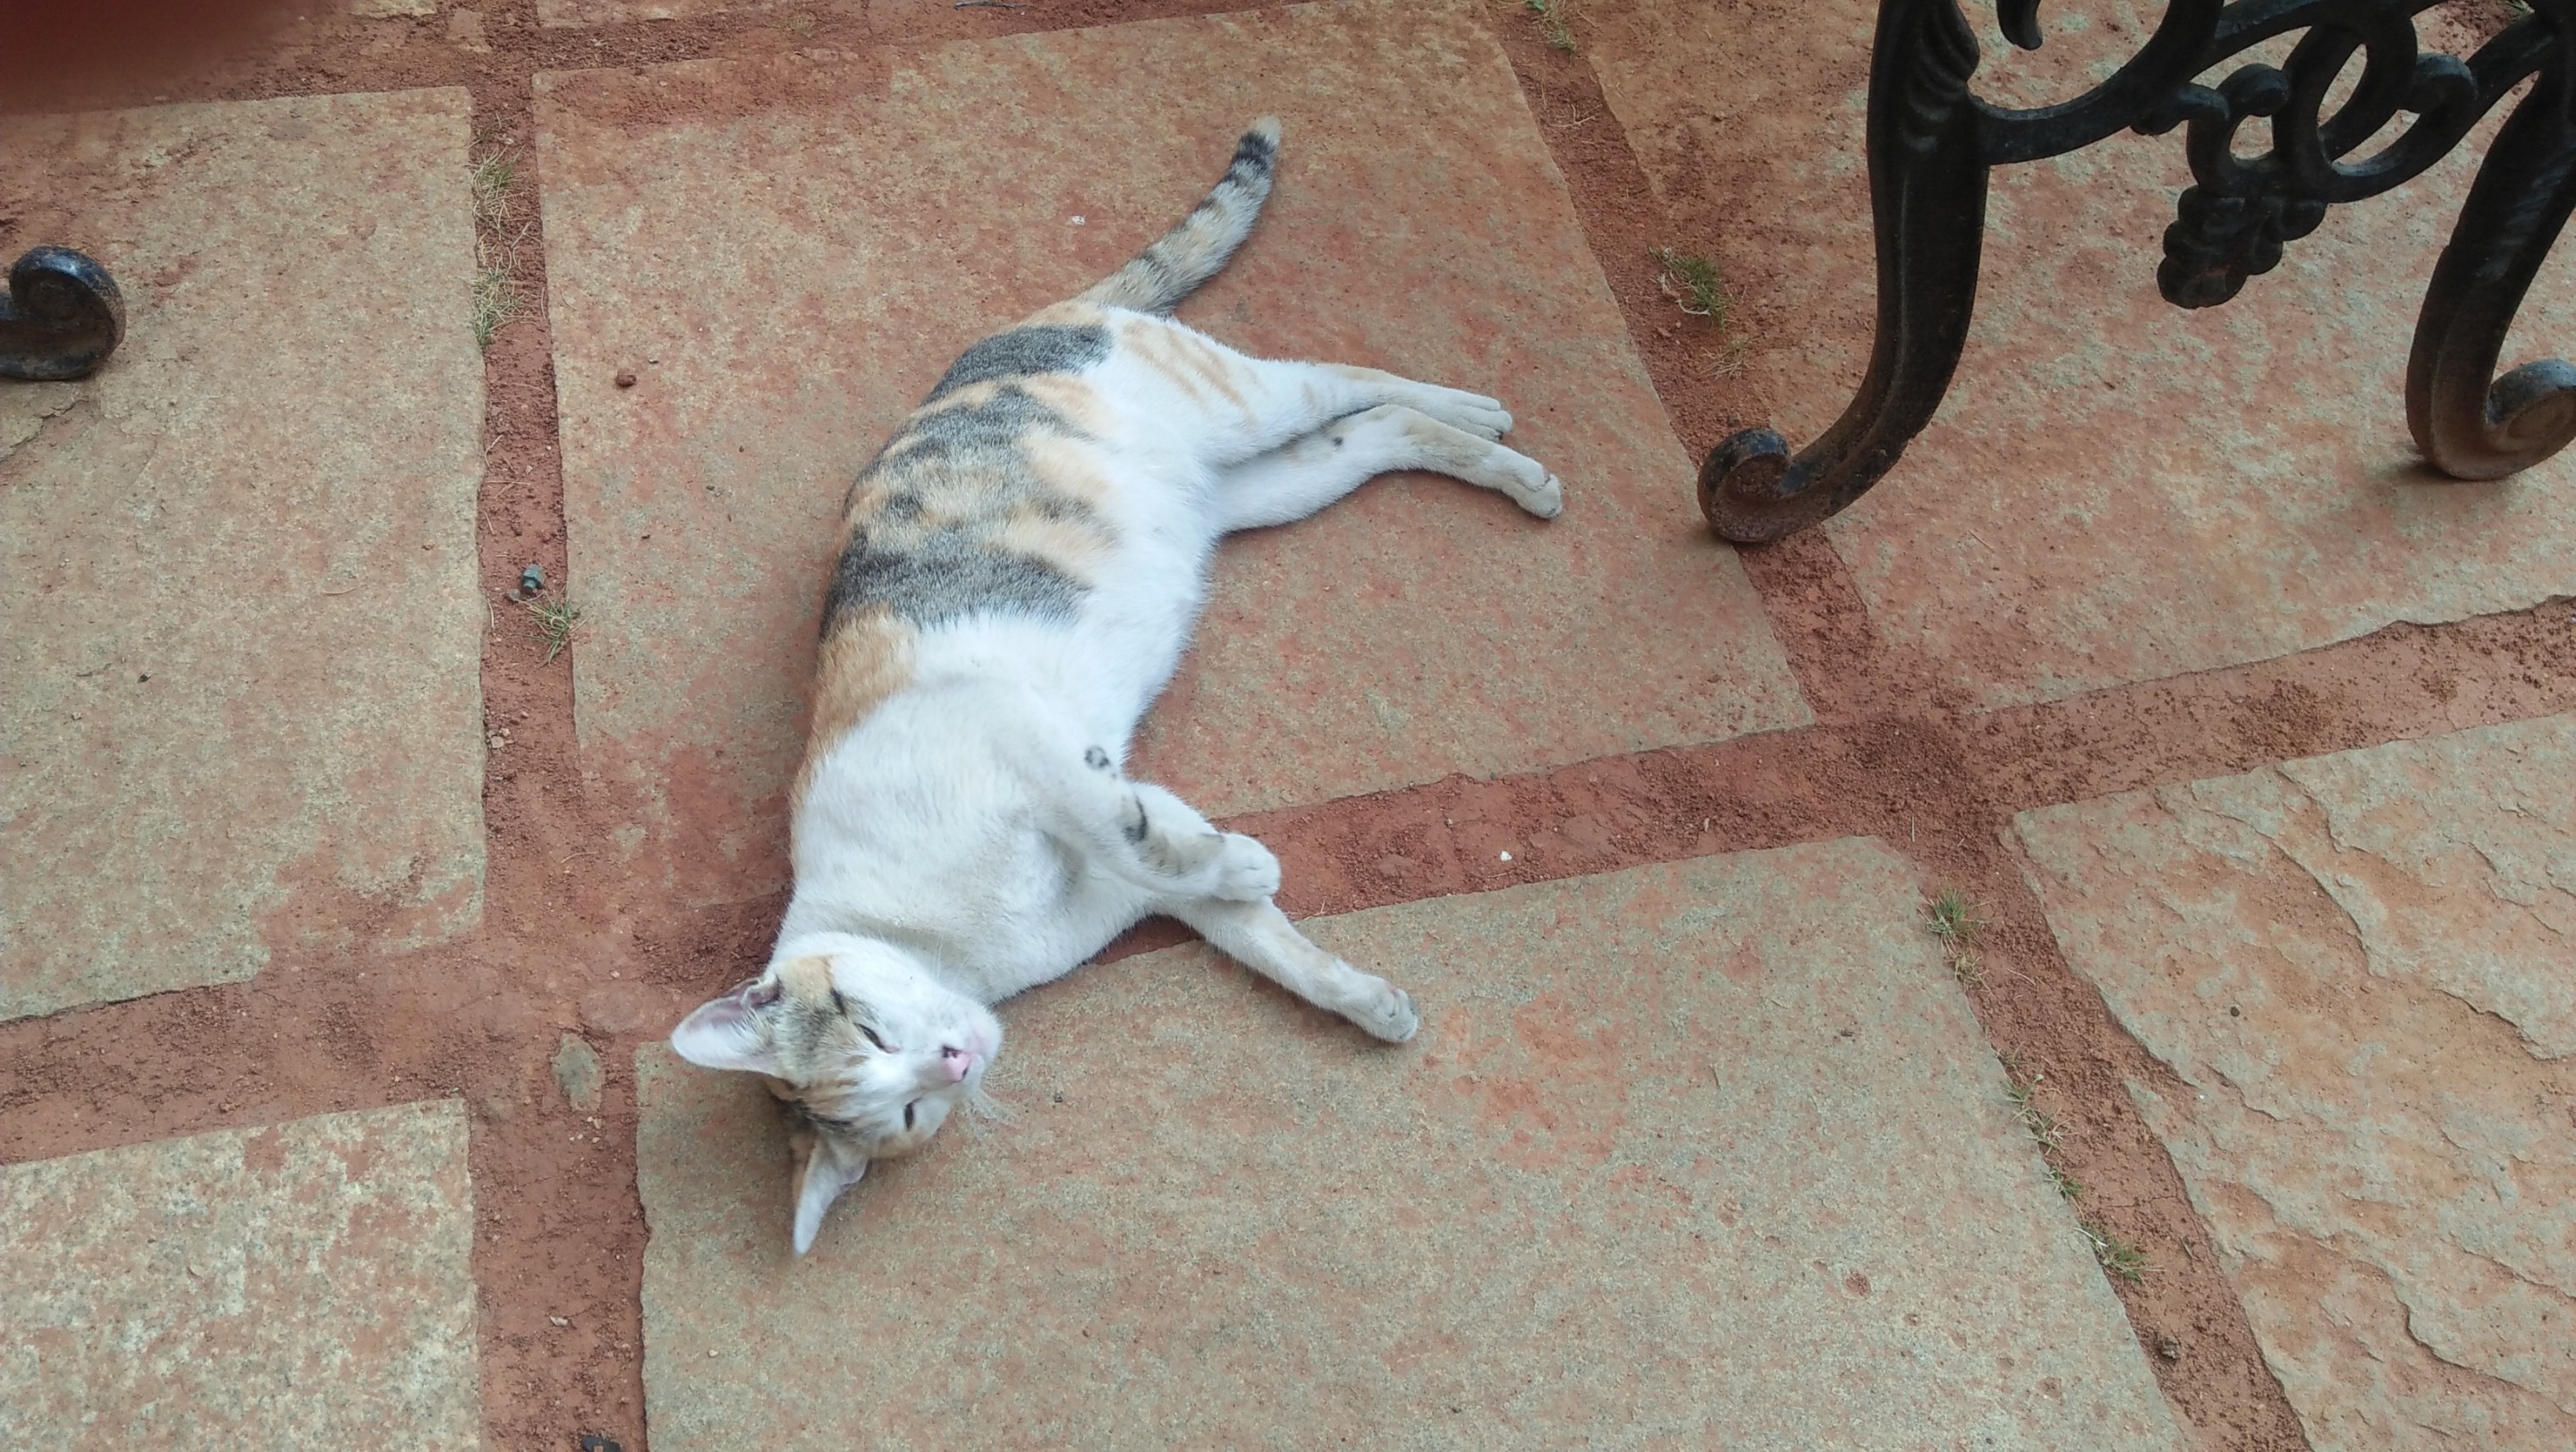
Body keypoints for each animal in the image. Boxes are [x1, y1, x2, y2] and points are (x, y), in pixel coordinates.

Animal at [667, 117, 1565, 1254]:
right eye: (903, 1112)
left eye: (871, 1031)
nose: (955, 1058)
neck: (952, 943)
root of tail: (1026, 321)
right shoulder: (1128, 880)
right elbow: (1239, 919)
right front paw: (1360, 993)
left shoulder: (1011, 734)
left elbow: (1124, 823)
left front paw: (1248, 862)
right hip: (1263, 487)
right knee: (1372, 435)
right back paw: (1495, 455)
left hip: (1238, 408)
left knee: (1343, 374)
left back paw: (1490, 419)